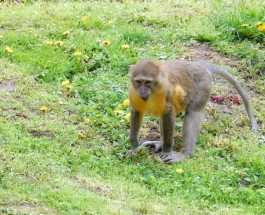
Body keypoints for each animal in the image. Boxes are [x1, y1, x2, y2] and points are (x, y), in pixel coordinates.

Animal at [127, 59, 256, 164]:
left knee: (192, 112)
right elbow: (136, 112)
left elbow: (169, 113)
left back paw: (185, 153)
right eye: (139, 82)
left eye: (147, 82)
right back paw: (161, 142)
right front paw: (135, 147)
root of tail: (200, 65)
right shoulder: (133, 91)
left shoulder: (166, 91)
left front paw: (167, 149)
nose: (142, 91)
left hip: (204, 86)